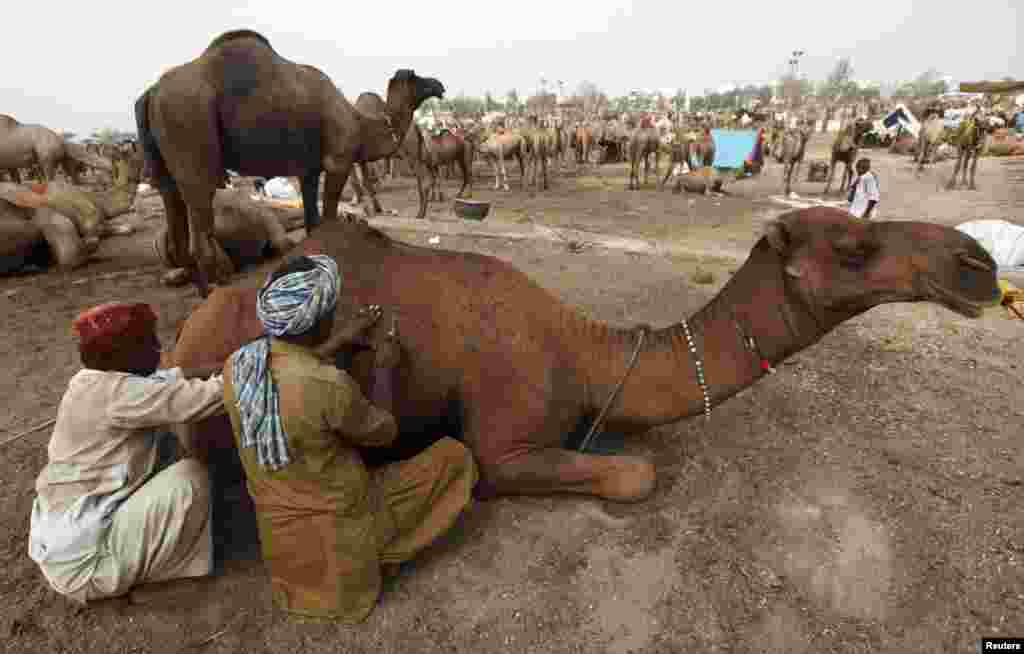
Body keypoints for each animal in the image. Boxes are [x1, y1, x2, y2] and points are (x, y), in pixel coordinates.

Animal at [133, 30, 444, 294]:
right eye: (417, 77)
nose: (439, 84)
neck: (359, 124)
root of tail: (151, 93)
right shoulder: (338, 161)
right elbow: (328, 218)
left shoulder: (308, 170)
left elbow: (313, 224)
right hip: (191, 132)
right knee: (200, 233)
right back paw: (214, 294)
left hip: (163, 167)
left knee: (176, 222)